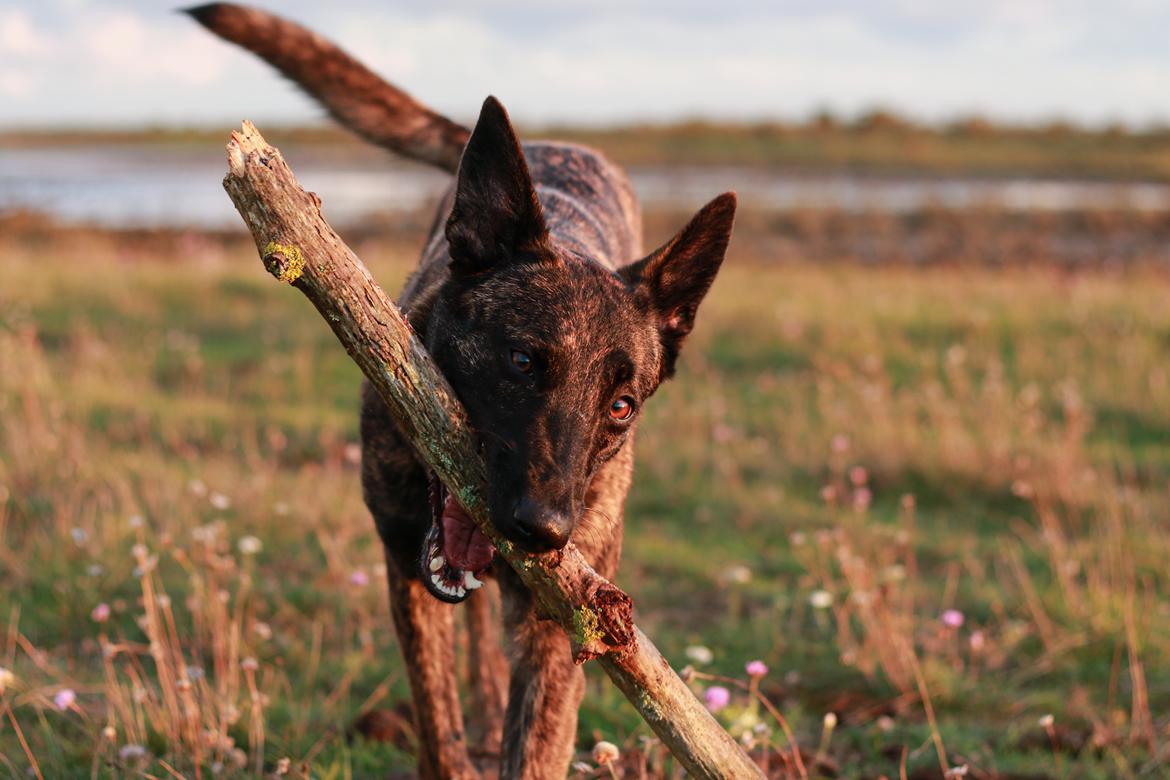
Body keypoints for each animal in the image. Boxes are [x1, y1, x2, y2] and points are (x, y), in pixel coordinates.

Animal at [187, 4, 734, 776]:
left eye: (621, 407)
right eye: (522, 361)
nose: (544, 531)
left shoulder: (561, 626)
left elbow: (535, 742)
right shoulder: (403, 567)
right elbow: (436, 718)